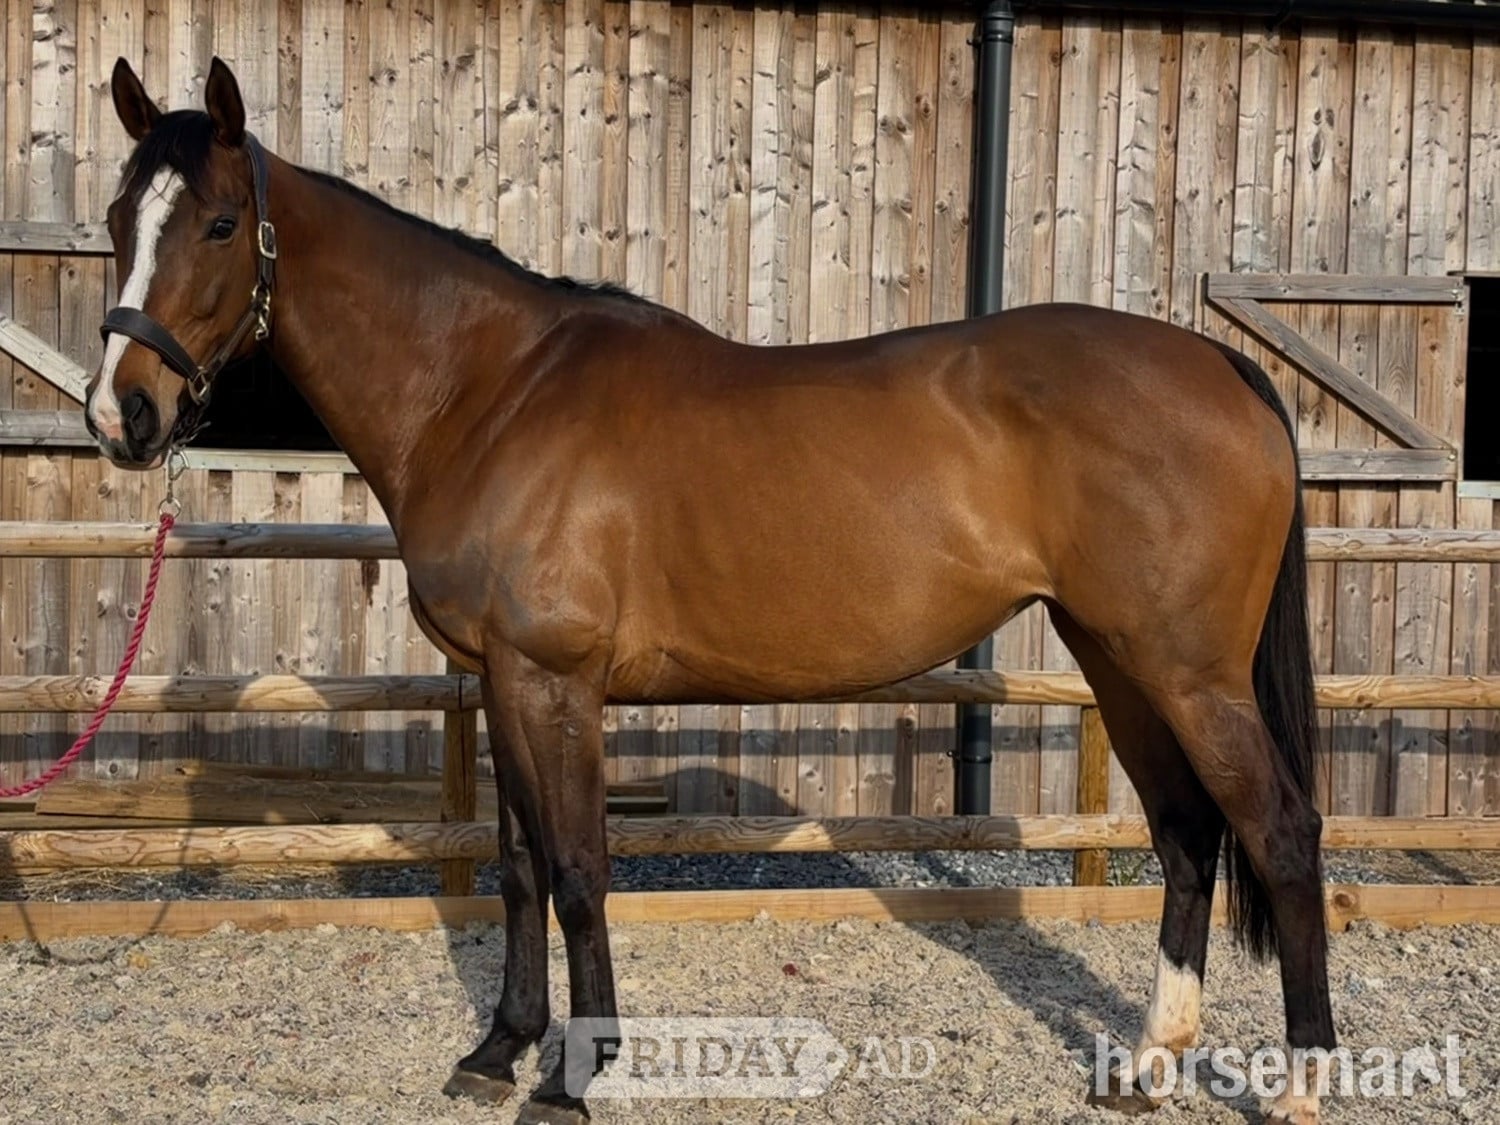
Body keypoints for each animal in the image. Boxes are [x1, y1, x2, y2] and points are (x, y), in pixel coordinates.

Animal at [83, 56, 1334, 1125]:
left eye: (220, 223)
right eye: (115, 220)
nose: (121, 413)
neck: (487, 393)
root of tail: (1219, 361)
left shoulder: (555, 683)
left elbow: (580, 869)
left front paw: (575, 1074)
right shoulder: (501, 683)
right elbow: (519, 868)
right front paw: (499, 1049)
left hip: (1187, 672)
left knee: (1278, 829)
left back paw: (1301, 1082)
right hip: (1119, 658)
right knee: (1186, 834)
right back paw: (1148, 1065)